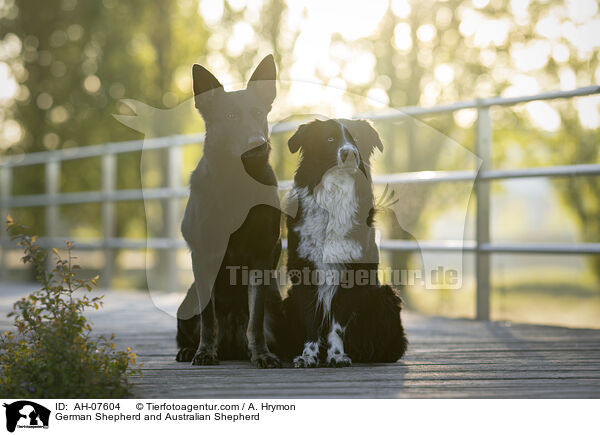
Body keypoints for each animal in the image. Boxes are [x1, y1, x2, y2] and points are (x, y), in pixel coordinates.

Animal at [175, 54, 284, 368]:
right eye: (231, 117)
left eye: (258, 112)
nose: (257, 144)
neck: (237, 181)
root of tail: (232, 344)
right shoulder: (204, 255)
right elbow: (208, 319)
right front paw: (204, 351)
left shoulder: (260, 256)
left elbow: (256, 318)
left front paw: (261, 354)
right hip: (187, 302)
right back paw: (189, 349)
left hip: (278, 305)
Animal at [282, 118, 408, 368]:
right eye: (330, 139)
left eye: (356, 138)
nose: (350, 152)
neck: (335, 193)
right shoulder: (304, 270)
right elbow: (312, 320)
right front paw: (308, 356)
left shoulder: (351, 271)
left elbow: (337, 324)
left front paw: (337, 355)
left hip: (384, 296)